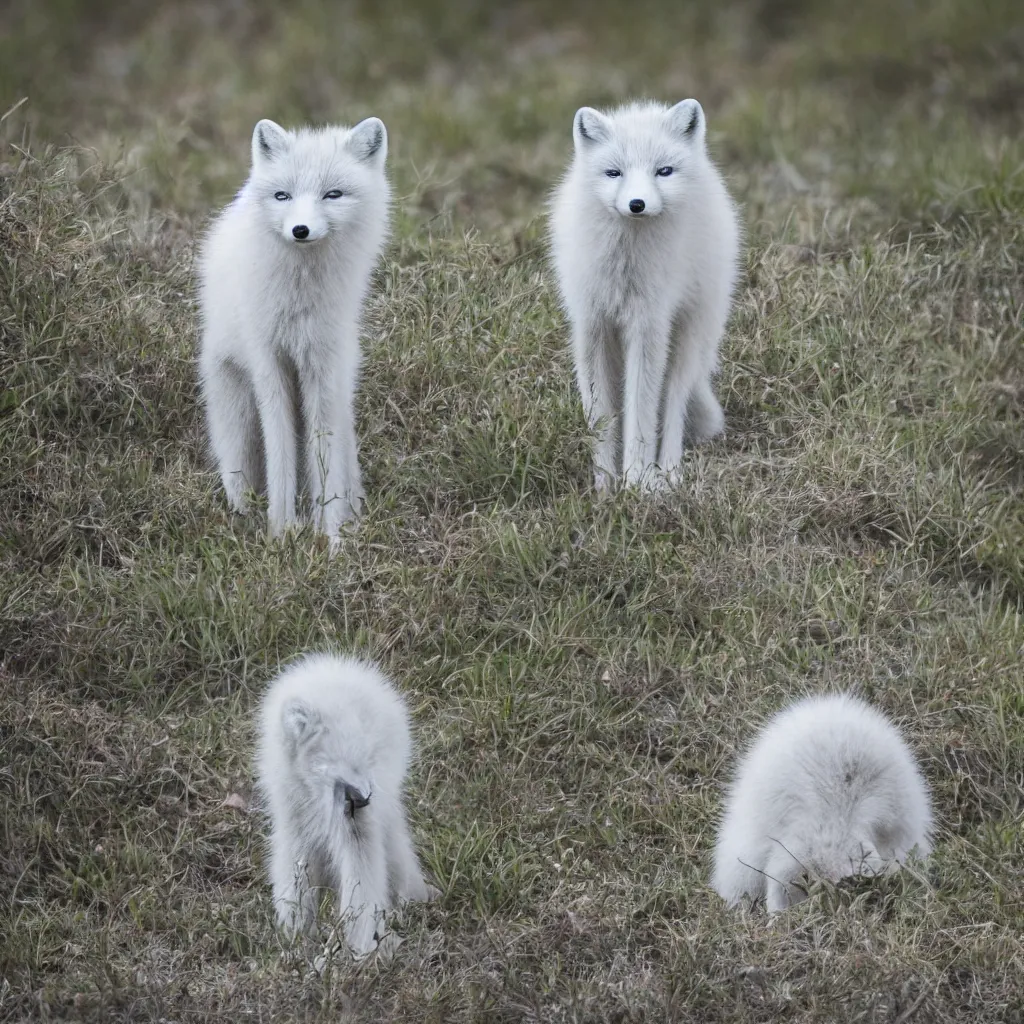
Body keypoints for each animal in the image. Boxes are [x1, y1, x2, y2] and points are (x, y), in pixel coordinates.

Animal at [197, 116, 389, 540]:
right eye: (282, 196)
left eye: (333, 194)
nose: (300, 230)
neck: (300, 303)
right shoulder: (268, 363)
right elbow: (280, 450)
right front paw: (281, 532)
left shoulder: (321, 367)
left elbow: (324, 457)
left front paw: (330, 536)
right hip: (236, 419)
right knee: (240, 471)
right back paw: (244, 516)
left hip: (339, 389)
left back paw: (352, 516)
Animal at [256, 651, 436, 954]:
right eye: (333, 760)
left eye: (368, 756)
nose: (363, 798)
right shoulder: (293, 811)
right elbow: (295, 866)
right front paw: (296, 928)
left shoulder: (358, 815)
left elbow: (361, 870)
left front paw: (361, 943)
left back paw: (413, 898)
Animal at [548, 99, 741, 491]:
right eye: (614, 173)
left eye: (663, 171)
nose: (636, 204)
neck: (626, 265)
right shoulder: (591, 326)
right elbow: (600, 416)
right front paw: (604, 486)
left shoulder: (648, 324)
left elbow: (642, 411)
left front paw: (636, 483)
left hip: (687, 336)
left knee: (674, 403)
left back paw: (668, 471)